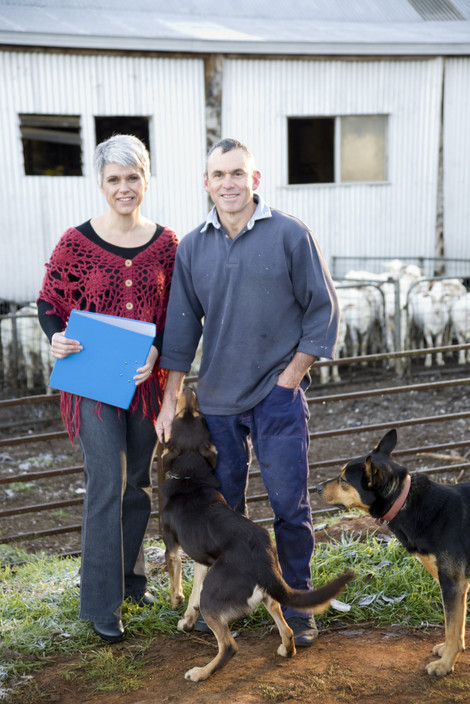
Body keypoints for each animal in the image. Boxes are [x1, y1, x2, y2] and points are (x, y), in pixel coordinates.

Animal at [161, 388, 352, 680]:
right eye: (196, 417)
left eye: (181, 415)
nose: (190, 390)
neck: (191, 474)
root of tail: (262, 556)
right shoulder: (203, 559)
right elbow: (193, 594)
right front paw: (187, 621)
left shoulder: (172, 547)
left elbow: (177, 580)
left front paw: (175, 603)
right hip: (268, 596)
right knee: (287, 629)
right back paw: (286, 649)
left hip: (214, 599)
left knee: (229, 647)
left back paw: (201, 673)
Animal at [316, 428, 470, 676]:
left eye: (343, 479)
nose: (316, 488)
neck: (404, 500)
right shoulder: (457, 585)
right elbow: (456, 624)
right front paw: (449, 651)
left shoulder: (452, 584)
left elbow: (452, 626)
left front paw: (445, 665)